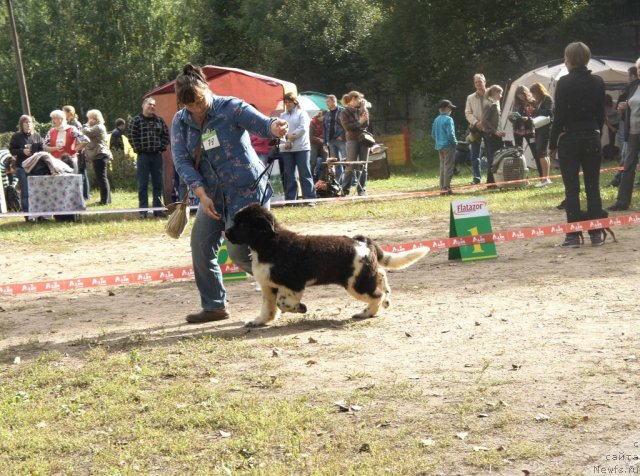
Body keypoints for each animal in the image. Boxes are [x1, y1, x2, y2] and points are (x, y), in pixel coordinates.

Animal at [225, 205, 430, 328]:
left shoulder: (292, 284)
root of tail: (363, 241)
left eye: (242, 224)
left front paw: (301, 308)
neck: (268, 244)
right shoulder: (268, 286)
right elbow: (268, 307)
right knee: (380, 274)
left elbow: (282, 303)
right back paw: (385, 297)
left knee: (376, 296)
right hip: (364, 275)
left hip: (356, 284)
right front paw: (258, 321)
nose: (226, 233)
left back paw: (365, 313)